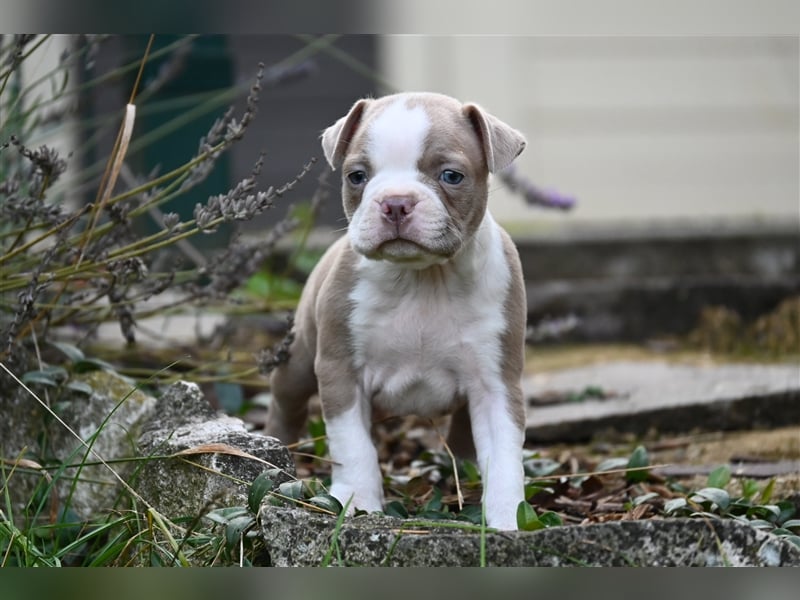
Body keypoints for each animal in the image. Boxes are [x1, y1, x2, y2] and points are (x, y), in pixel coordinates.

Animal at [268, 90, 532, 528]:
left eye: (451, 176)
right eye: (357, 176)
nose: (395, 203)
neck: (422, 279)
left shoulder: (497, 384)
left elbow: (505, 455)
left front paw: (509, 519)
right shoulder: (341, 372)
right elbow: (353, 447)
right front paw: (358, 503)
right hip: (299, 361)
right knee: (286, 403)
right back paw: (273, 451)